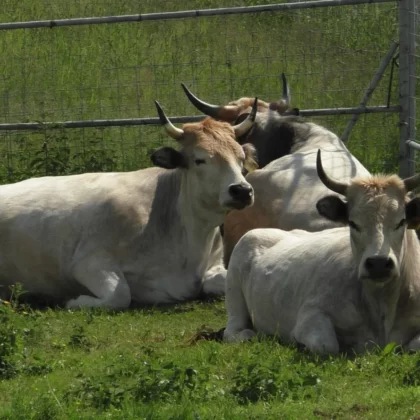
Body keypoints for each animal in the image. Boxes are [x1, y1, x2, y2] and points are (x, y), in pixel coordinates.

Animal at [225, 151, 420, 354]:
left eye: (401, 221)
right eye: (353, 223)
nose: (379, 264)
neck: (382, 306)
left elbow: (414, 346)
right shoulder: (311, 315)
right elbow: (327, 345)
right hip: (234, 292)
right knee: (234, 331)